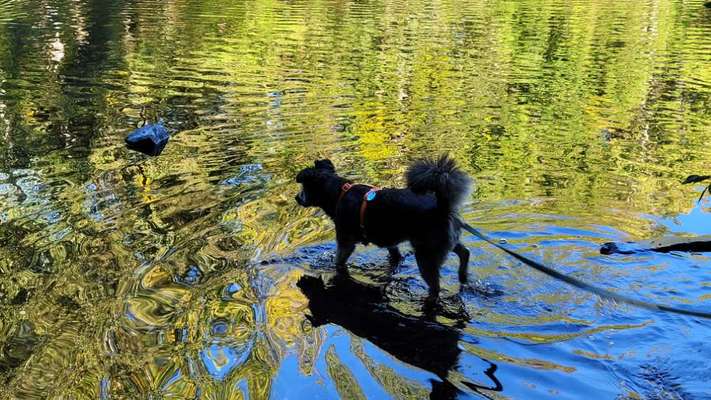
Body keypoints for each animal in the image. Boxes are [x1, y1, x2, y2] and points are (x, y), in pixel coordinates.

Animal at [294, 155, 472, 302]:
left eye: (303, 188)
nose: (296, 198)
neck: (338, 193)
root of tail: (443, 208)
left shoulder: (345, 242)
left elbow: (338, 262)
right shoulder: (390, 244)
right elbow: (395, 256)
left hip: (426, 255)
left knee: (436, 287)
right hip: (443, 243)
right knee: (465, 252)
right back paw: (462, 276)